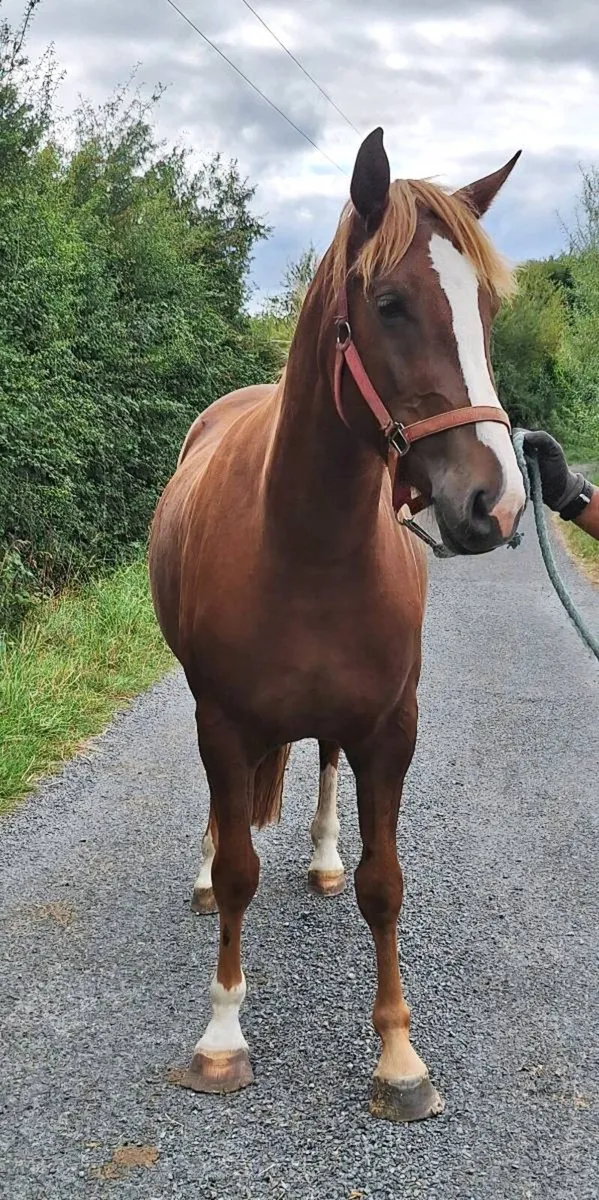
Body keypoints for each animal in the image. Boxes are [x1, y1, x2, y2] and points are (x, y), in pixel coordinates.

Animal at [149, 127, 526, 1123]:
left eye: (484, 311)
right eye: (389, 305)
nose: (497, 504)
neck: (305, 544)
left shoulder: (390, 728)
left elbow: (382, 884)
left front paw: (398, 1056)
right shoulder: (222, 722)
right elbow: (238, 868)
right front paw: (221, 1038)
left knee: (319, 764)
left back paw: (319, 857)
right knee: (228, 822)